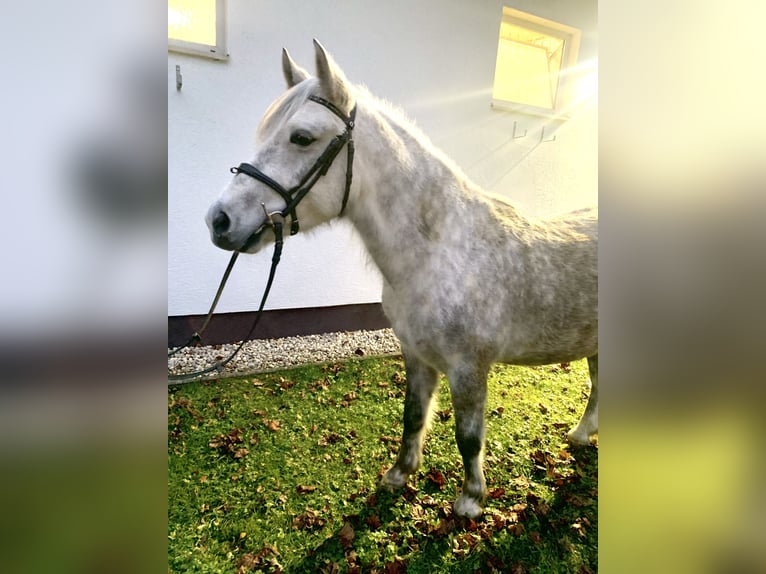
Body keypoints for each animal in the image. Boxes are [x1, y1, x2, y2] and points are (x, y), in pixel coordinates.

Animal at [207, 39, 596, 516]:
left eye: (302, 137)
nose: (219, 220)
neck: (440, 251)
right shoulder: (415, 354)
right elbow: (413, 415)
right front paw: (399, 474)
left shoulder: (469, 367)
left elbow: (468, 436)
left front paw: (470, 500)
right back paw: (581, 436)